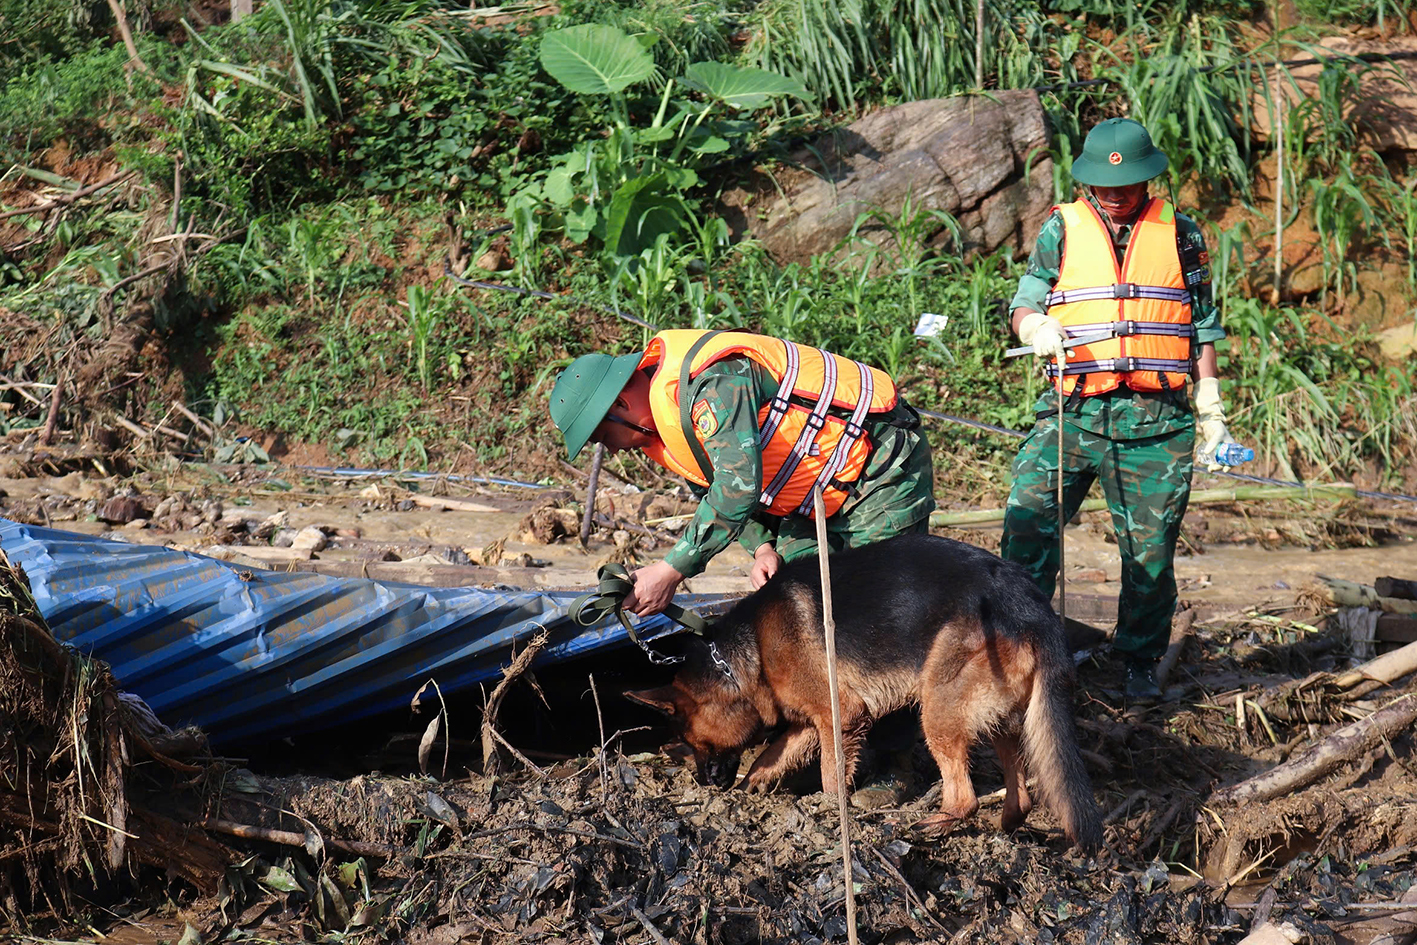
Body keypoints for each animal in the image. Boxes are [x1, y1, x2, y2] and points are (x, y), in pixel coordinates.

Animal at [626, 535, 1099, 855]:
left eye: (694, 742)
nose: (708, 784)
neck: (751, 648)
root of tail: (1031, 605)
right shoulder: (813, 720)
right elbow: (775, 751)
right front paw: (754, 782)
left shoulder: (841, 715)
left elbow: (829, 777)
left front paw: (832, 816)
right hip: (999, 719)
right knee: (1020, 795)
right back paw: (1003, 830)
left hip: (938, 712)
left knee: (964, 797)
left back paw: (925, 827)